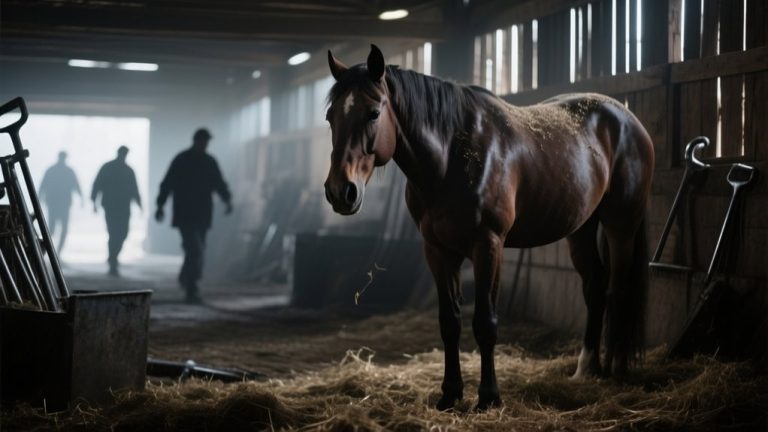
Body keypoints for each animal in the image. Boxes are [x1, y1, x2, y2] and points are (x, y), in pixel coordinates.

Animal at [323, 45, 654, 411]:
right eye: (330, 117)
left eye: (372, 113)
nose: (340, 192)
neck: (453, 156)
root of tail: (627, 118)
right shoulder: (438, 250)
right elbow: (449, 322)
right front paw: (450, 394)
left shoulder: (488, 246)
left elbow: (485, 322)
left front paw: (489, 398)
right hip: (581, 228)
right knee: (595, 286)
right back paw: (587, 369)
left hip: (621, 224)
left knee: (618, 289)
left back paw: (617, 370)